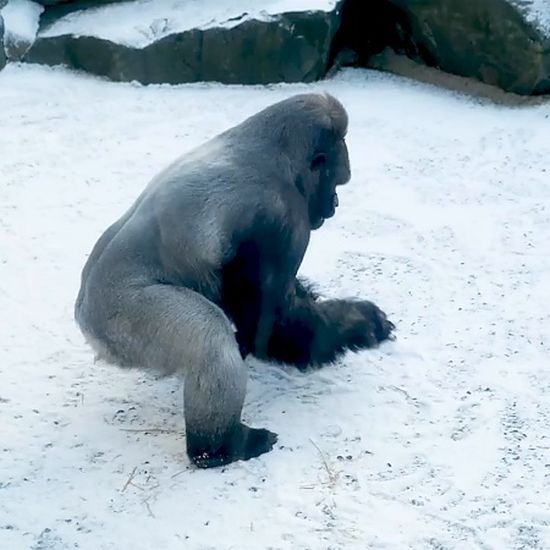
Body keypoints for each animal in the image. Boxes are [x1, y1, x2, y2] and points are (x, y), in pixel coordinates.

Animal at [74, 94, 396, 470]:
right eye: (336, 181)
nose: (334, 203)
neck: (274, 150)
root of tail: (84, 316)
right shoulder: (287, 218)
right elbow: (271, 327)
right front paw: (364, 323)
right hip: (119, 319)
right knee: (210, 338)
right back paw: (220, 448)